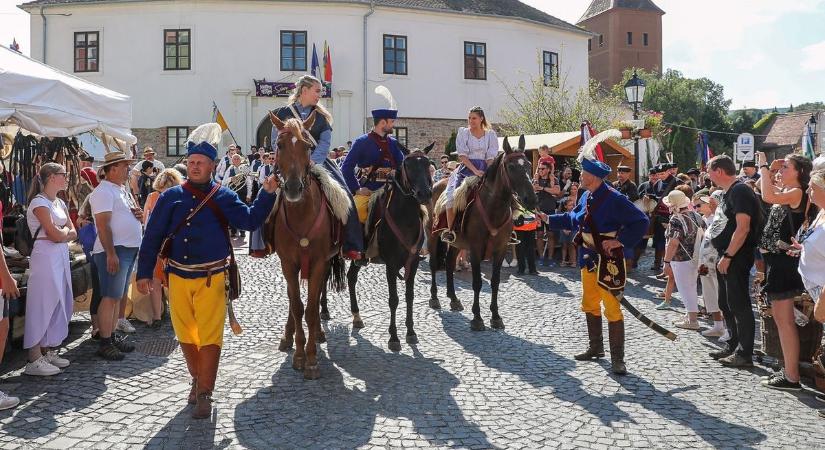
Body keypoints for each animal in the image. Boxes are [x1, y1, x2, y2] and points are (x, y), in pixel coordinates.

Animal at [262, 112, 342, 380]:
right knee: (292, 299)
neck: (301, 213)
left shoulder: (318, 262)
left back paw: (317, 333)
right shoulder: (288, 263)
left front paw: (312, 359)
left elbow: (311, 307)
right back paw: (287, 337)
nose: (294, 188)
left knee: (315, 301)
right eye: (279, 145)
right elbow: (297, 306)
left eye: (308, 147)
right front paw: (298, 355)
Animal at [342, 142, 434, 350]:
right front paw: (393, 337)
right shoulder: (391, 266)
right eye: (408, 165)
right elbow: (394, 300)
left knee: (351, 278)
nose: (424, 194)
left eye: (428, 164)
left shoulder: (413, 263)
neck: (405, 219)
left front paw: (411, 332)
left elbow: (409, 296)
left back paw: (357, 317)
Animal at [428, 134, 536, 330]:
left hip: (456, 242)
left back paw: (453, 299)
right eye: (511, 167)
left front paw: (495, 316)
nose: (531, 199)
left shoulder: (500, 250)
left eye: (528, 165)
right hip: (432, 235)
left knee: (449, 263)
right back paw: (434, 298)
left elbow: (495, 282)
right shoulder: (476, 249)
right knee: (433, 264)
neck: (492, 207)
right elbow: (477, 282)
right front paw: (477, 318)